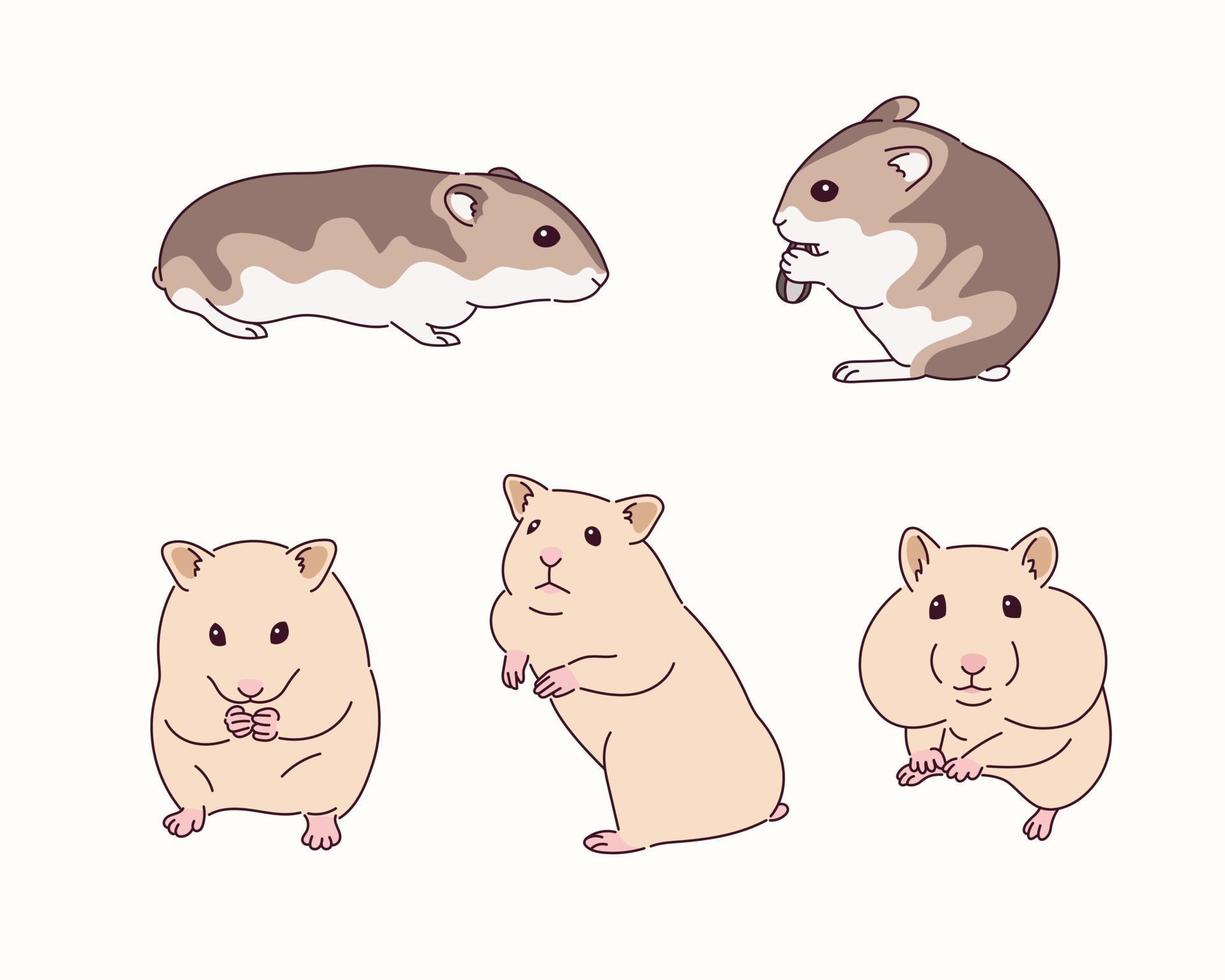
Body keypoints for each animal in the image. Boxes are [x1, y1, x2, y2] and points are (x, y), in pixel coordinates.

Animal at [153, 539, 379, 850]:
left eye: (281, 631)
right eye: (214, 633)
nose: (250, 689)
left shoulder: (331, 680)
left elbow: (313, 711)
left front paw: (264, 723)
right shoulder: (180, 684)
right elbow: (200, 716)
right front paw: (238, 722)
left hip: (327, 776)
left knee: (321, 808)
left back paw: (320, 838)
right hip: (182, 772)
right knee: (194, 800)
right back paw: (179, 825)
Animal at [154, 165, 607, 346]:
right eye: (545, 235)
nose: (601, 278)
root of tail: (165, 259)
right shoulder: (406, 309)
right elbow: (418, 329)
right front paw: (444, 341)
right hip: (212, 290)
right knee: (201, 307)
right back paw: (248, 331)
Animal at [490, 476, 786, 853]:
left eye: (593, 535)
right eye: (533, 526)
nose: (548, 556)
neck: (563, 615)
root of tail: (763, 810)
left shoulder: (646, 647)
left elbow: (619, 666)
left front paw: (549, 685)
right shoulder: (507, 605)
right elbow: (507, 631)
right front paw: (513, 678)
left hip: (627, 760)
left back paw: (601, 842)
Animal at [774, 96, 1058, 382]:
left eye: (824, 190)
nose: (778, 221)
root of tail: (988, 364)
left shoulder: (894, 257)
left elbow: (851, 280)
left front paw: (794, 261)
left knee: (917, 370)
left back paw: (856, 370)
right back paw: (851, 369)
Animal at [859, 528, 1110, 841]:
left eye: (1012, 605)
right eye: (936, 606)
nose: (972, 664)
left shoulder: (1041, 731)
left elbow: (1004, 741)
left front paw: (960, 770)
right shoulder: (923, 712)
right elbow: (925, 732)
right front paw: (926, 762)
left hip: (1059, 781)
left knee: (1050, 803)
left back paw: (1035, 830)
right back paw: (914, 773)